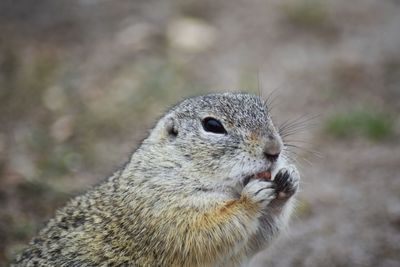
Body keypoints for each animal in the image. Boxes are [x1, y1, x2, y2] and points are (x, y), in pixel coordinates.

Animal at [13, 93, 300, 266]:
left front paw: (289, 179)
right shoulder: (161, 206)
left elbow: (259, 238)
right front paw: (250, 199)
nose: (274, 150)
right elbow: (202, 232)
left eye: (263, 109)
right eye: (213, 125)